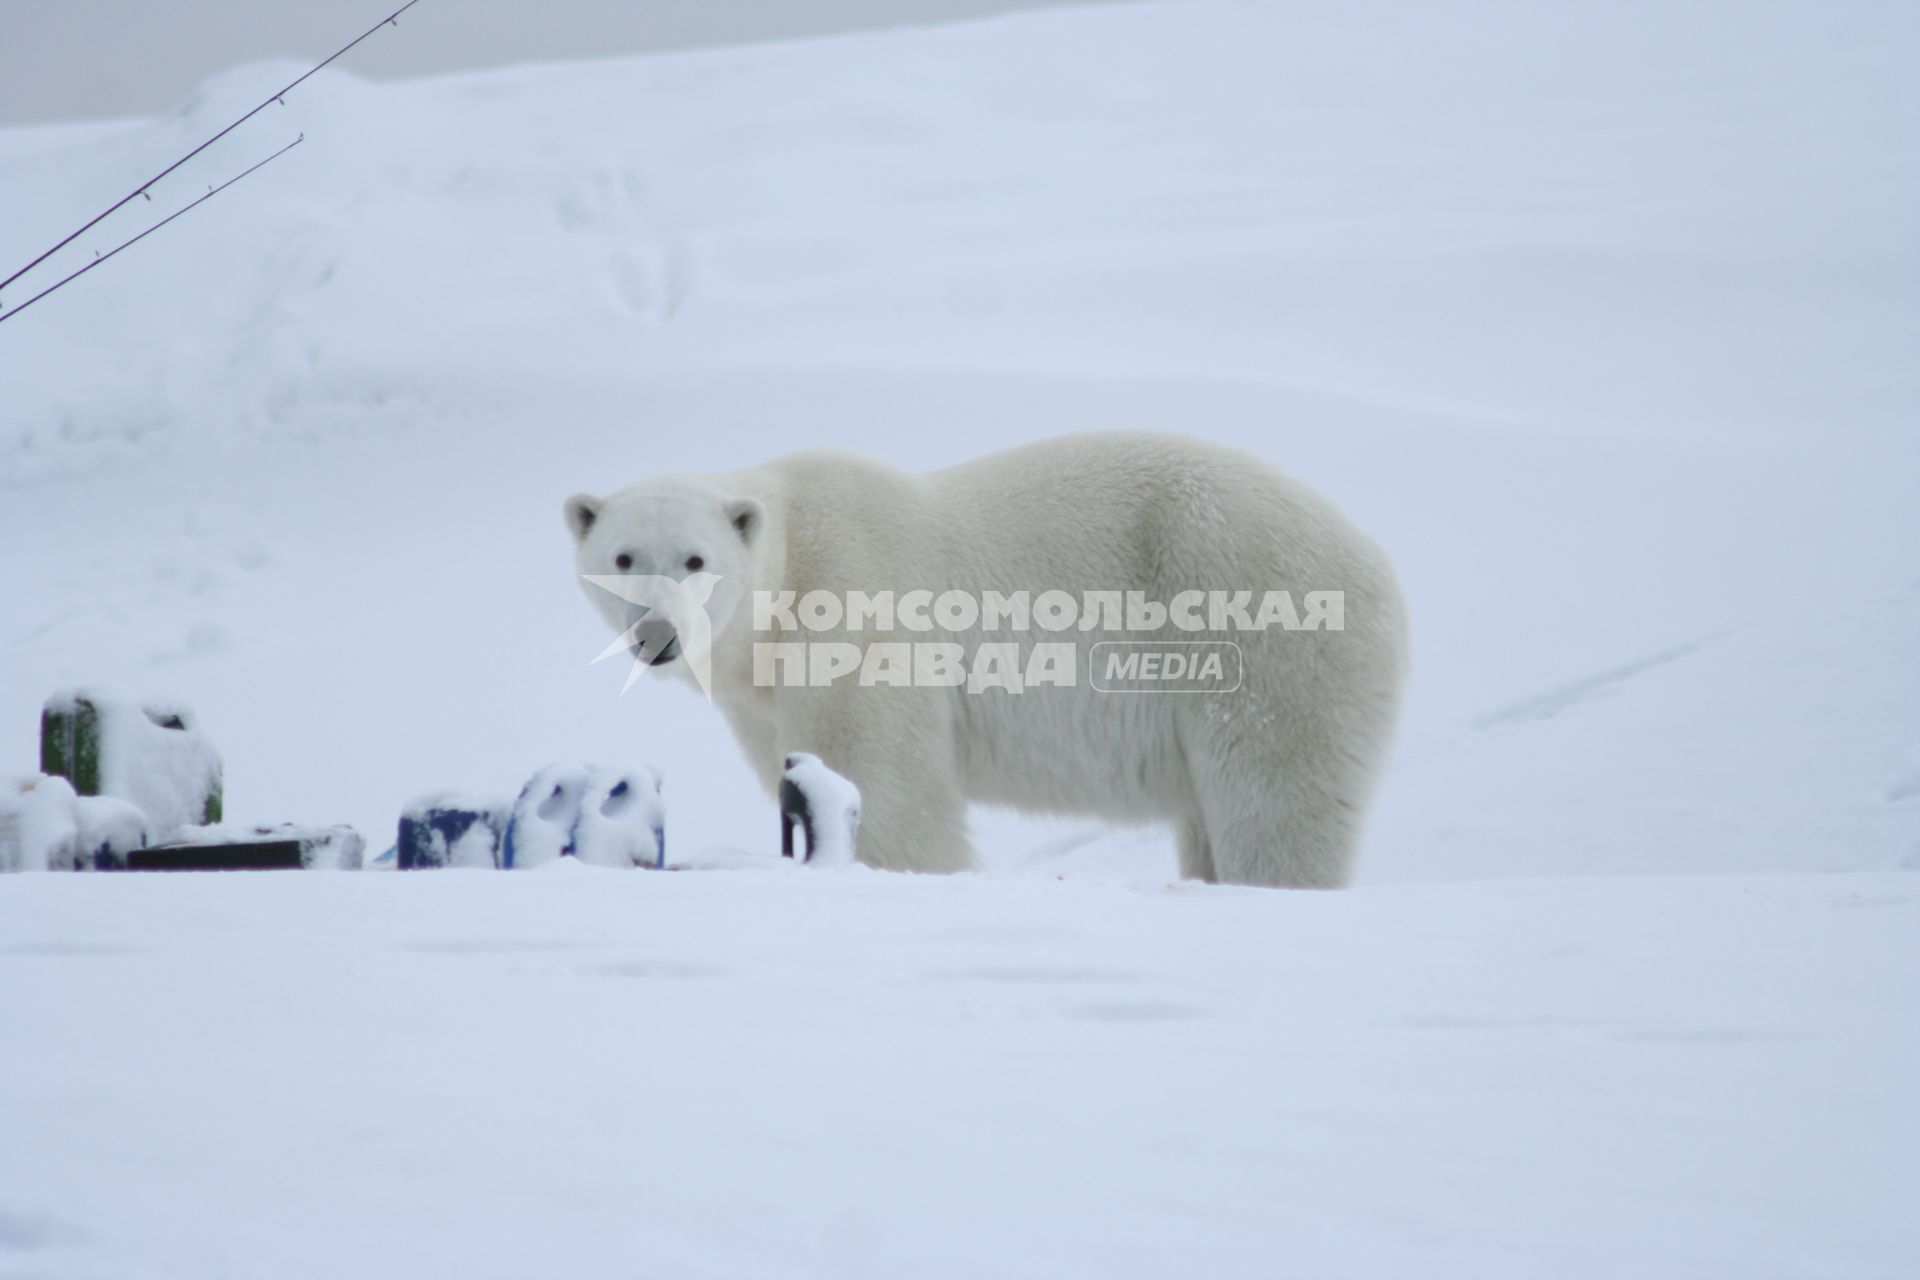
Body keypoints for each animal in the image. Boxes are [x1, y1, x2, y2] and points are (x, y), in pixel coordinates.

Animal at [560, 435, 1405, 886]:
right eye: (623, 556)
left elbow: (887, 783)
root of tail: (1373, 558)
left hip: (1258, 626)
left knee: (1273, 794)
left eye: (695, 559)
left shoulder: (857, 608)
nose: (656, 635)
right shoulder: (761, 695)